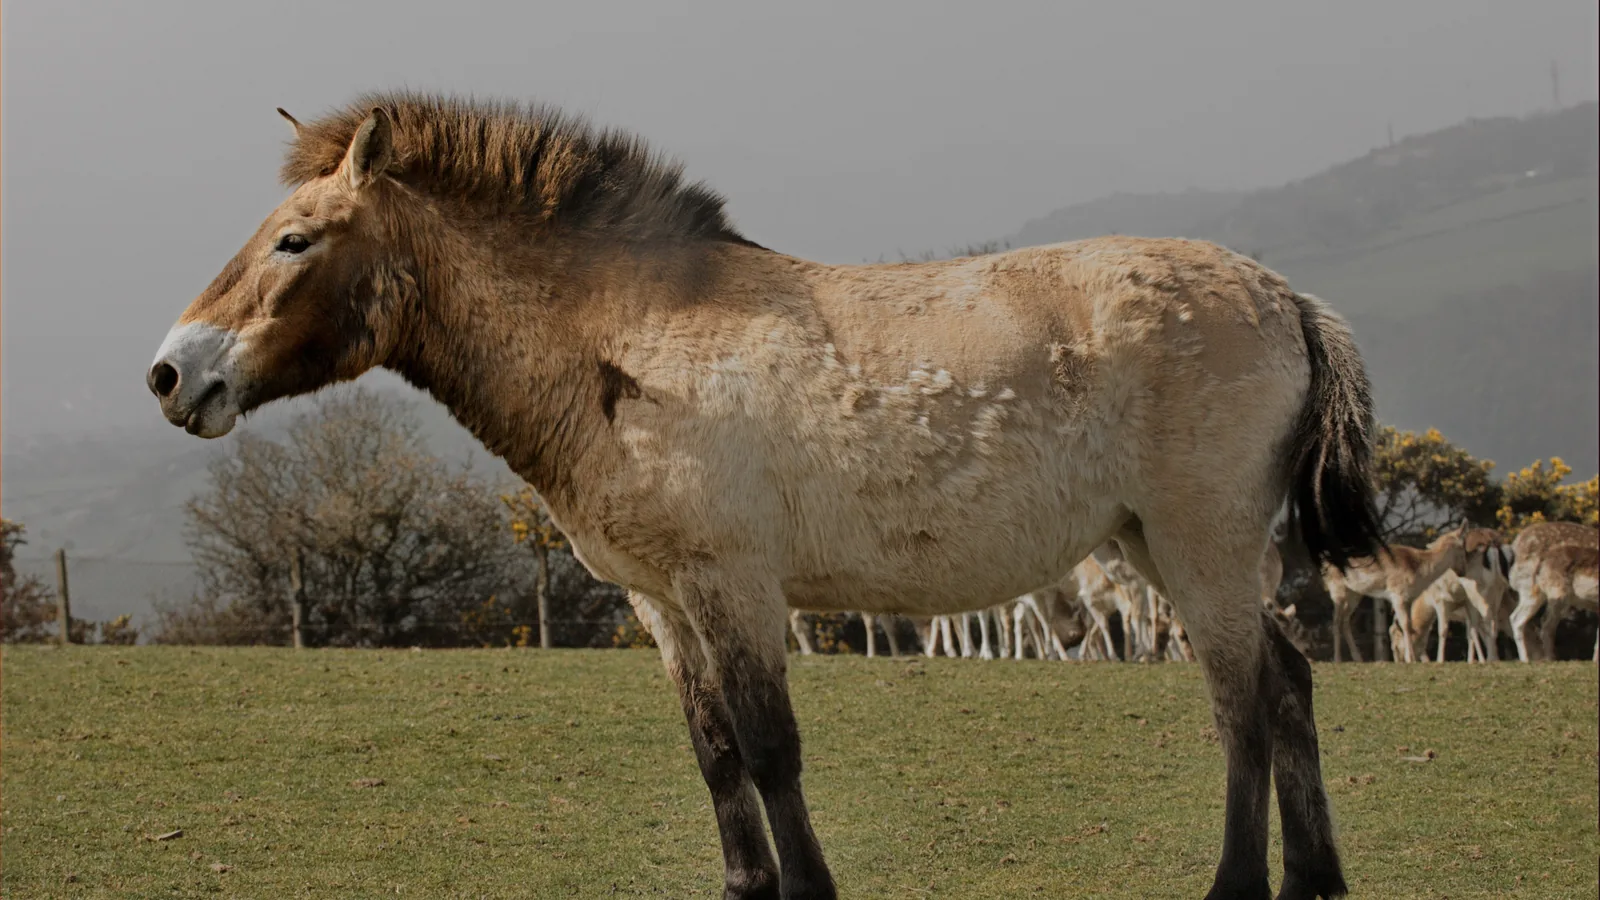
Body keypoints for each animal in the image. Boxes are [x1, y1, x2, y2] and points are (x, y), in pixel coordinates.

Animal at [147, 92, 1384, 900]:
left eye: (294, 240)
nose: (170, 372)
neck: (627, 340)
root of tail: (1284, 297)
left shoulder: (733, 586)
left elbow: (768, 744)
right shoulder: (661, 602)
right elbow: (713, 748)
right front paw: (749, 884)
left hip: (1199, 545)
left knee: (1240, 705)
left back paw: (1237, 885)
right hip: (1150, 548)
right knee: (1284, 686)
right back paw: (1315, 880)